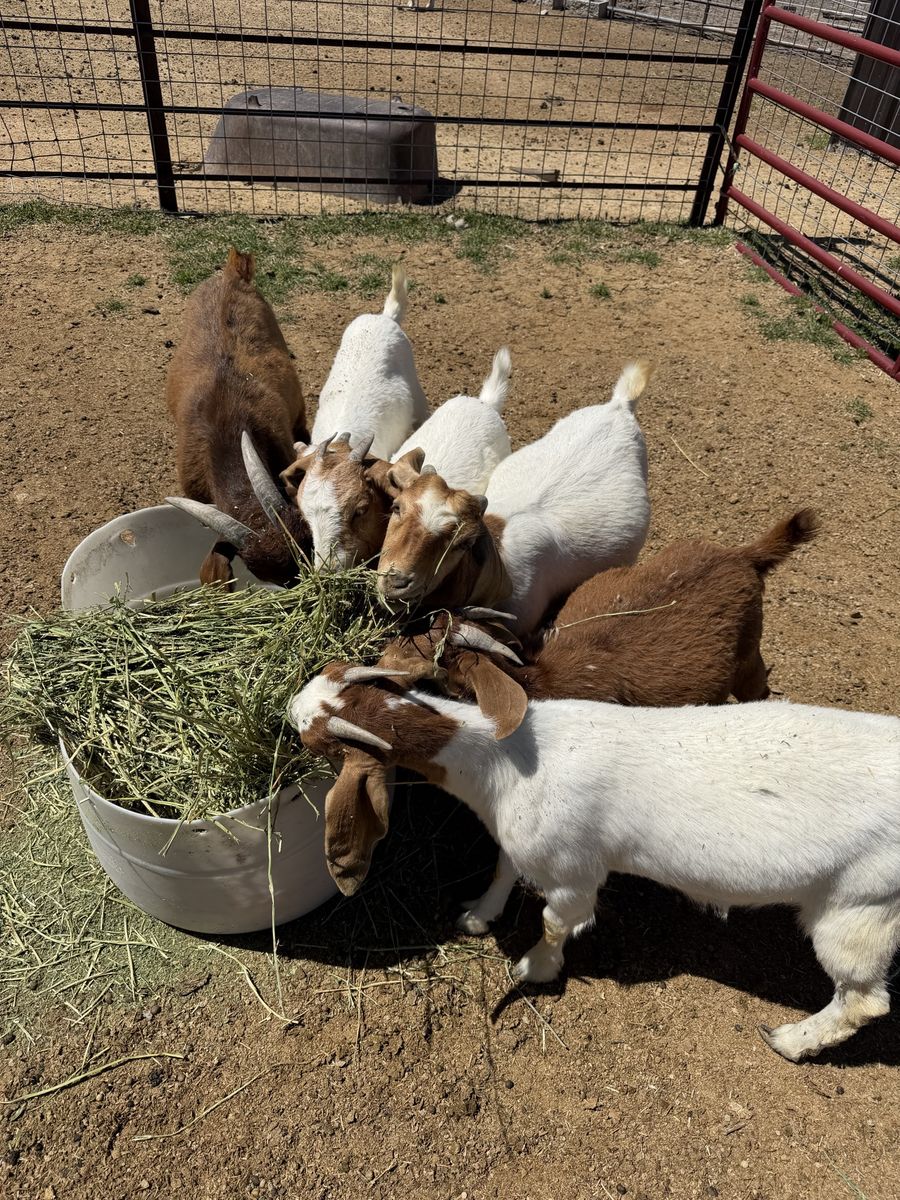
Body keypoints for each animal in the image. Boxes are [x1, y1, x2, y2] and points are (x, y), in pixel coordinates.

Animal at [288, 663, 900, 1062]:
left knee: (864, 1001)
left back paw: (793, 1041)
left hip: (858, 908)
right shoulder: (518, 842)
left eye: (315, 735)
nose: (291, 706)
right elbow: (502, 870)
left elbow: (557, 921)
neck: (501, 761)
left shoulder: (572, 871)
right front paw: (478, 916)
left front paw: (535, 968)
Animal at [376, 509, 819, 729]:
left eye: (429, 665)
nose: (380, 658)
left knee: (755, 683)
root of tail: (741, 556)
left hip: (748, 645)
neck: (542, 676)